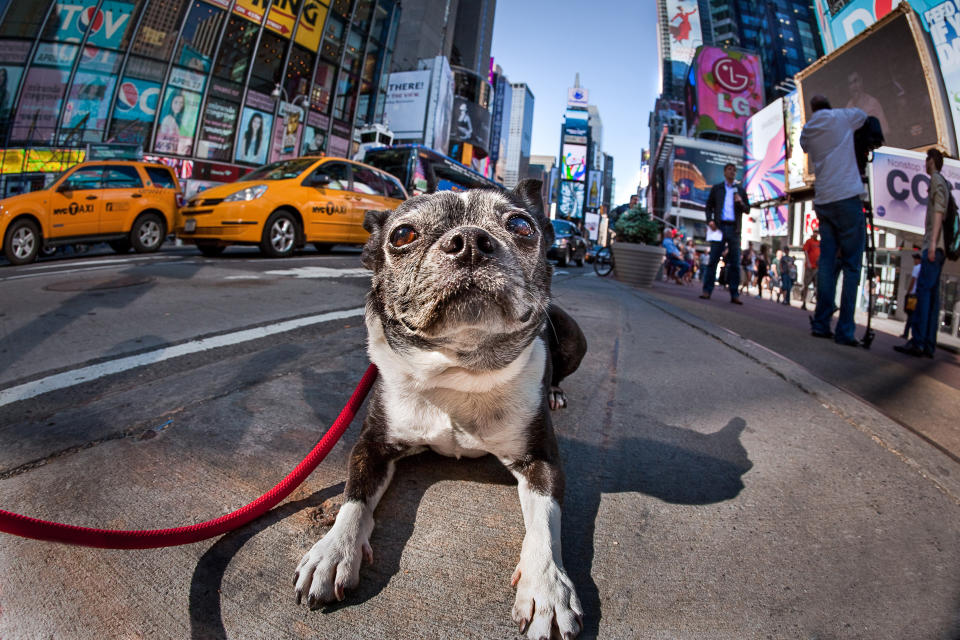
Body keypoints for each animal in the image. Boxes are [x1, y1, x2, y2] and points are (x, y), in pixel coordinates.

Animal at [296, 180, 588, 640]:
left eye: (521, 225)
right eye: (402, 235)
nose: (469, 241)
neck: (459, 368)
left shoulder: (541, 461)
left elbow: (544, 524)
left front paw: (546, 587)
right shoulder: (372, 445)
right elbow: (353, 498)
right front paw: (332, 552)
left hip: (573, 335)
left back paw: (556, 391)